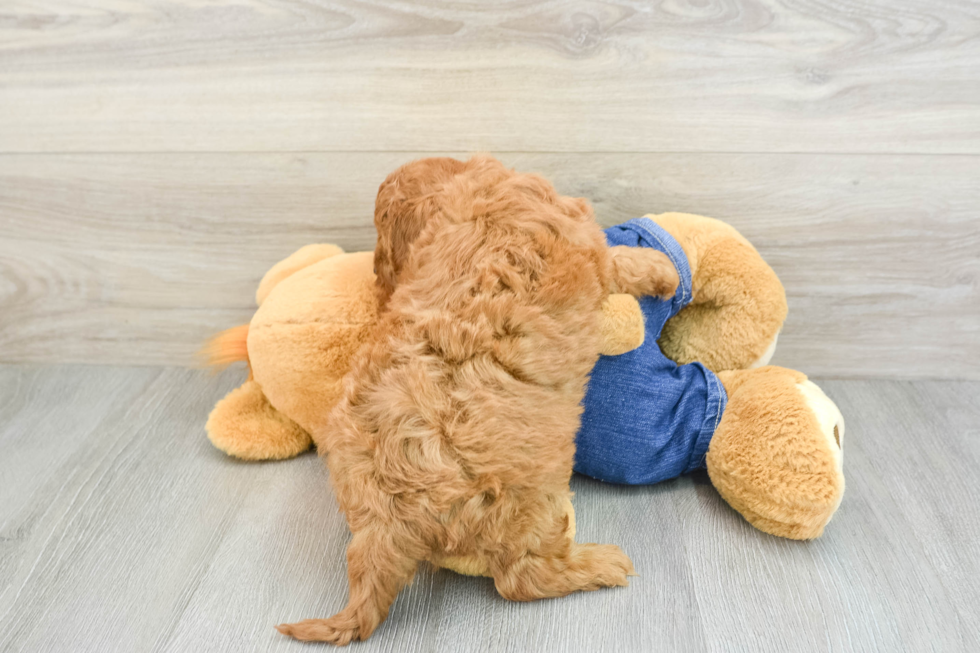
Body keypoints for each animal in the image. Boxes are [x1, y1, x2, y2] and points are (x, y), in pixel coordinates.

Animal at [274, 157, 672, 640]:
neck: (451, 188)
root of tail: (388, 519)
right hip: (530, 502)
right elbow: (618, 260)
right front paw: (662, 270)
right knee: (523, 579)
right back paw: (600, 564)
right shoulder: (588, 247)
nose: (379, 287)